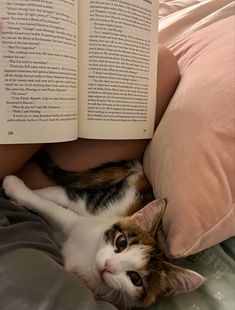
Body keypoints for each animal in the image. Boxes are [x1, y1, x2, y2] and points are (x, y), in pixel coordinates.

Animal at [2, 150, 204, 308]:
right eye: (121, 242)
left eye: (135, 279)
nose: (107, 266)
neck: (88, 255)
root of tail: (142, 176)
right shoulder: (79, 223)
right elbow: (52, 209)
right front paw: (20, 192)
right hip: (99, 200)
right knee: (64, 194)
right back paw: (16, 187)